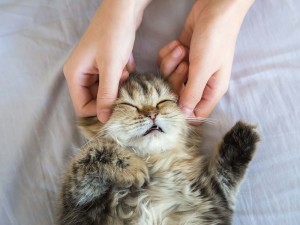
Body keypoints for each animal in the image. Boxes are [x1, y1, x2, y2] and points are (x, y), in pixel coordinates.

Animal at [58, 73, 258, 225]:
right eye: (128, 105)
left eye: (164, 102)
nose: (152, 114)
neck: (157, 163)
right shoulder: (78, 202)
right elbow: (93, 152)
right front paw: (134, 168)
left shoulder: (214, 200)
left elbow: (225, 175)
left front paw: (243, 137)